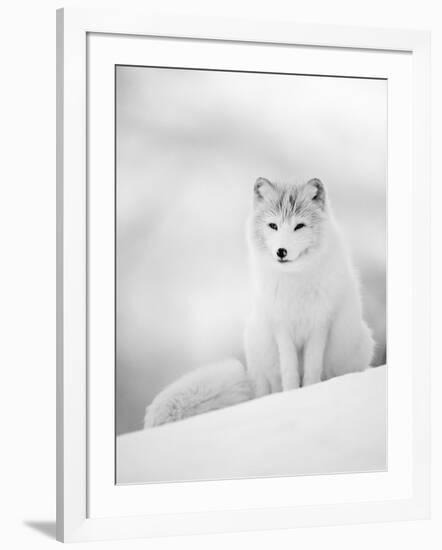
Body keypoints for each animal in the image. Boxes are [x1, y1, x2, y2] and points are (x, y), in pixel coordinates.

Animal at [144, 179, 372, 430]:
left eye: (299, 226)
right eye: (273, 226)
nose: (281, 251)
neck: (294, 280)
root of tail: (249, 379)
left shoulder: (320, 324)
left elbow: (312, 369)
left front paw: (309, 392)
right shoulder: (281, 325)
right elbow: (290, 370)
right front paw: (291, 396)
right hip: (257, 348)